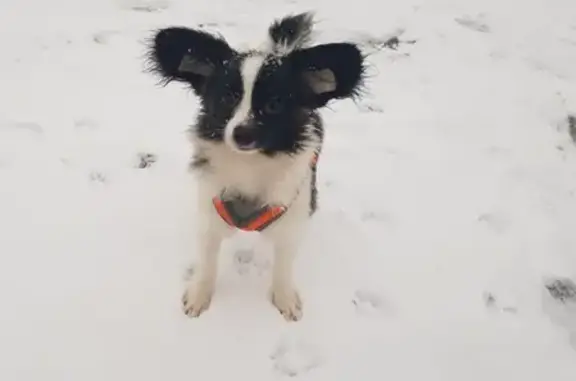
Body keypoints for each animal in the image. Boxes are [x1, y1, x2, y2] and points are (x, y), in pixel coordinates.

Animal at [146, 11, 366, 320]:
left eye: (274, 105)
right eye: (227, 98)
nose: (243, 134)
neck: (251, 163)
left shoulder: (291, 217)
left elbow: (284, 263)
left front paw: (285, 298)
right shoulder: (210, 210)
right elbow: (207, 258)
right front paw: (200, 294)